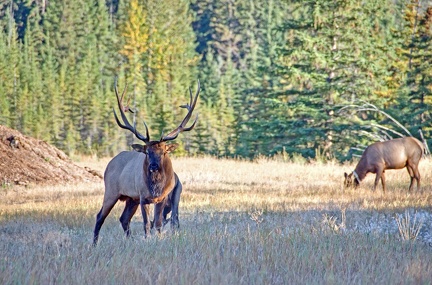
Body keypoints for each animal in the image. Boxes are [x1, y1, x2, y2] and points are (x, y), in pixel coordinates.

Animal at [93, 80, 201, 244]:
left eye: (163, 152)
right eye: (147, 152)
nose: (154, 166)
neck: (156, 187)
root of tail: (110, 163)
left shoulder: (161, 198)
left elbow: (157, 223)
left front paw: (157, 239)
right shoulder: (143, 197)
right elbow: (146, 224)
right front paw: (148, 239)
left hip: (131, 199)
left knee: (124, 218)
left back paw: (129, 240)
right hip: (111, 191)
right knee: (100, 216)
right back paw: (94, 243)